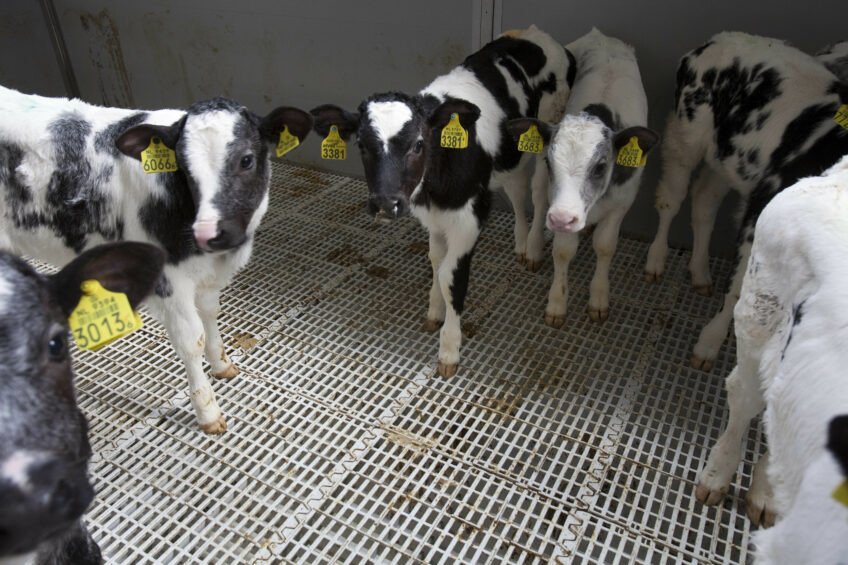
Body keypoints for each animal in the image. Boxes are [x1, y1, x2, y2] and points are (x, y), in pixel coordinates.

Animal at [0, 85, 314, 432]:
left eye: (246, 160)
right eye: (184, 169)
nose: (208, 234)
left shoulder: (207, 277)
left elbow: (211, 314)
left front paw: (222, 365)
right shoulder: (170, 283)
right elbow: (191, 341)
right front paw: (208, 413)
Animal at [312, 27, 576, 378]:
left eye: (418, 144)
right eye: (361, 145)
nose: (385, 203)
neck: (435, 188)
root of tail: (534, 33)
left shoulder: (469, 218)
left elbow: (451, 275)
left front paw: (449, 350)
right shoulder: (433, 216)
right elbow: (436, 261)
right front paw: (434, 312)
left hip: (547, 127)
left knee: (536, 188)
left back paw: (533, 249)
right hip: (511, 153)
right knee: (517, 187)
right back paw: (521, 242)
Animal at [506, 29, 660, 326]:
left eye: (600, 166)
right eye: (549, 161)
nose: (562, 218)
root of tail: (602, 36)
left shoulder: (623, 201)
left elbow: (605, 246)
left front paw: (599, 299)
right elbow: (563, 250)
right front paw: (556, 304)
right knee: (539, 199)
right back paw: (533, 248)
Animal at [644, 32, 848, 370]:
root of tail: (719, 39)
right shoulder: (759, 214)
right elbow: (742, 291)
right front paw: (709, 344)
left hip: (725, 159)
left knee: (704, 201)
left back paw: (700, 272)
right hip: (684, 135)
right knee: (671, 199)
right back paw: (656, 261)